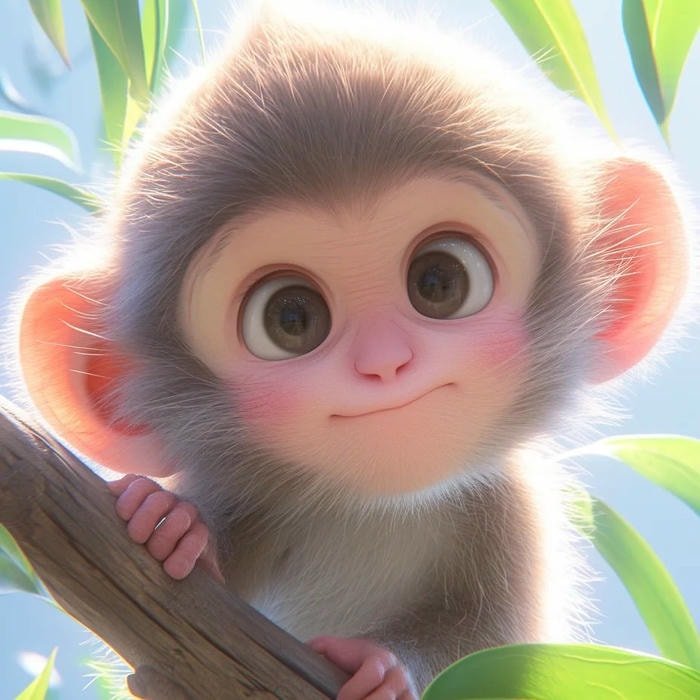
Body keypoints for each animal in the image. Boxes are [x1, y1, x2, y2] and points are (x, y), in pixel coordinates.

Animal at [13, 2, 692, 698]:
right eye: (291, 318)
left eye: (439, 282)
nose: (384, 361)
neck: (378, 508)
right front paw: (172, 519)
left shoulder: (508, 513)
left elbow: (487, 649)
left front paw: (385, 666)